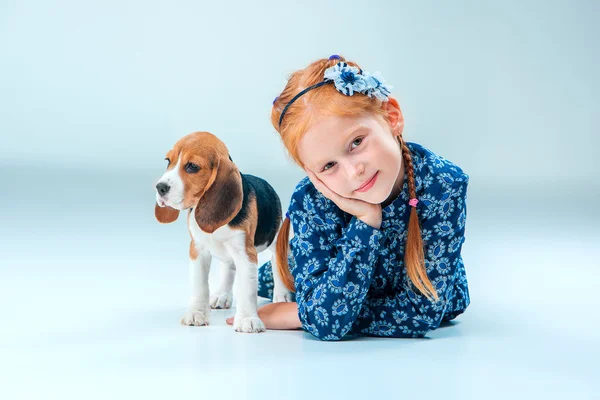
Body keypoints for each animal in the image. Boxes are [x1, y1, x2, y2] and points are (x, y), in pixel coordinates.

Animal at [155, 132, 292, 334]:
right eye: (168, 161)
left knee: (277, 264)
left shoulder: (246, 253)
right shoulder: (197, 249)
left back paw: (282, 296)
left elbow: (246, 288)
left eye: (192, 166)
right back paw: (222, 295)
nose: (160, 187)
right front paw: (196, 313)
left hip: (275, 240)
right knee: (228, 267)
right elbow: (200, 284)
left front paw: (247, 319)